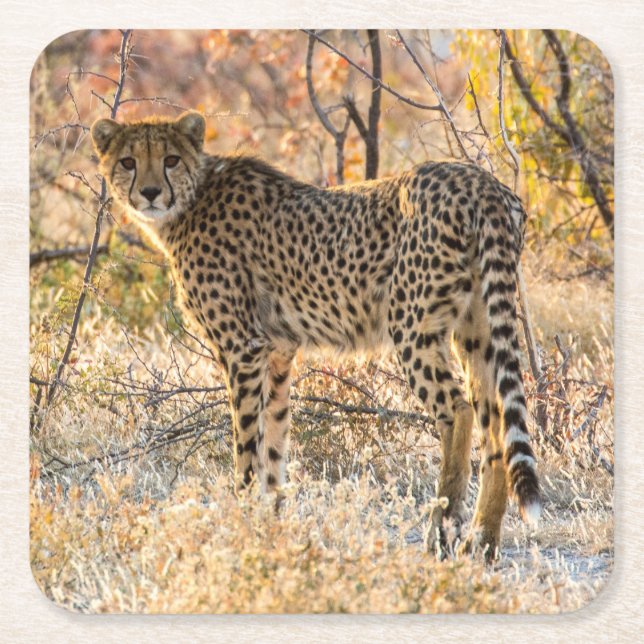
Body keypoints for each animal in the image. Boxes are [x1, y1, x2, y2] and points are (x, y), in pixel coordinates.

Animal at [91, 110, 541, 557]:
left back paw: (441, 532)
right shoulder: (276, 352)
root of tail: (478, 180)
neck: (192, 198)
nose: (150, 193)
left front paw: (241, 522)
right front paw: (271, 525)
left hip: (412, 325)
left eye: (170, 159)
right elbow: (273, 441)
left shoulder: (242, 349)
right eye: (128, 161)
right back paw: (483, 542)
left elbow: (246, 446)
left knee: (458, 411)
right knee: (496, 424)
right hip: (476, 328)